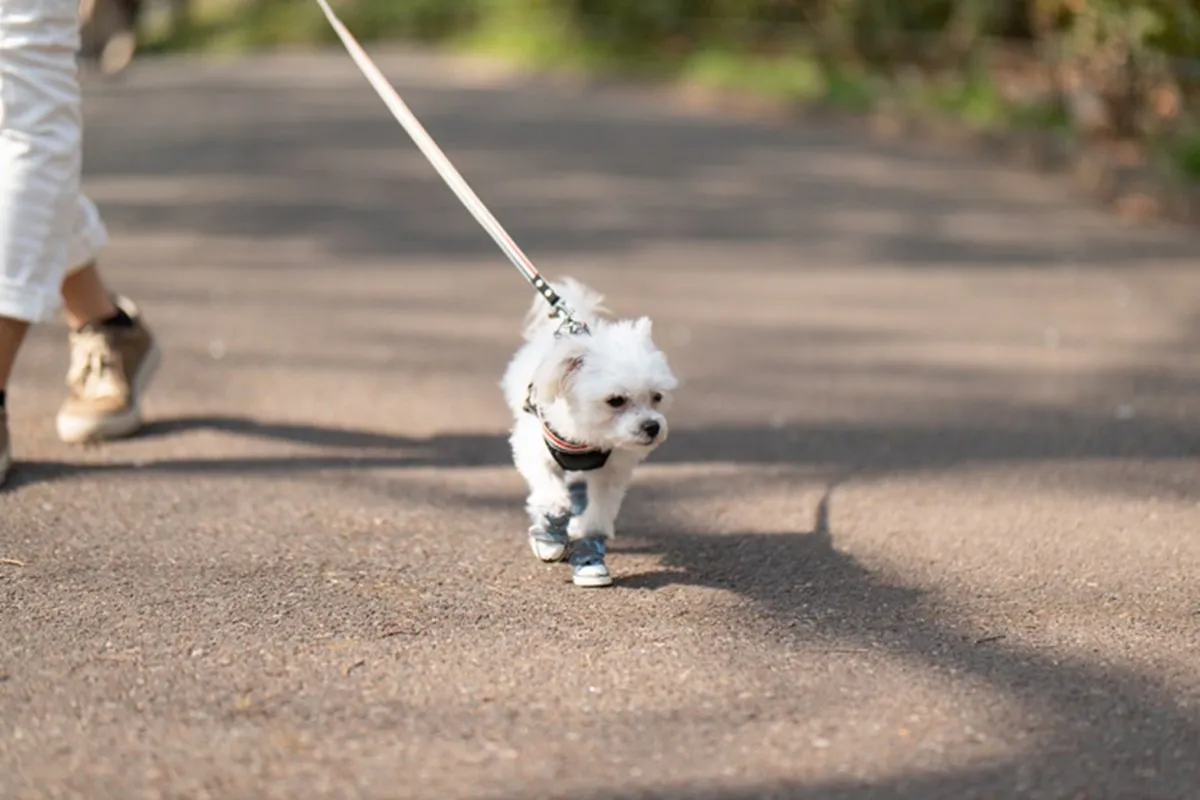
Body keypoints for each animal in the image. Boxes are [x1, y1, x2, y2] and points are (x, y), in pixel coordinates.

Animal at [501, 280, 681, 587]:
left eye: (657, 397)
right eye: (615, 400)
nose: (652, 426)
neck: (587, 437)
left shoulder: (611, 470)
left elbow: (600, 509)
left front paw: (586, 530)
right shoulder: (532, 448)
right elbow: (547, 485)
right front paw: (555, 508)